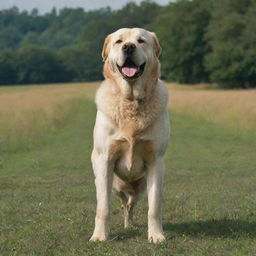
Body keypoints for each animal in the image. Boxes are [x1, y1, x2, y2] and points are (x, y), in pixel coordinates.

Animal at [89, 28, 169, 244]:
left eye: (141, 41)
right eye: (119, 41)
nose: (128, 47)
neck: (132, 100)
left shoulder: (156, 161)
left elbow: (154, 207)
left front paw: (156, 236)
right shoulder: (104, 160)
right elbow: (103, 207)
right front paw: (99, 236)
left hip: (140, 187)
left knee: (131, 203)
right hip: (115, 186)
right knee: (124, 204)